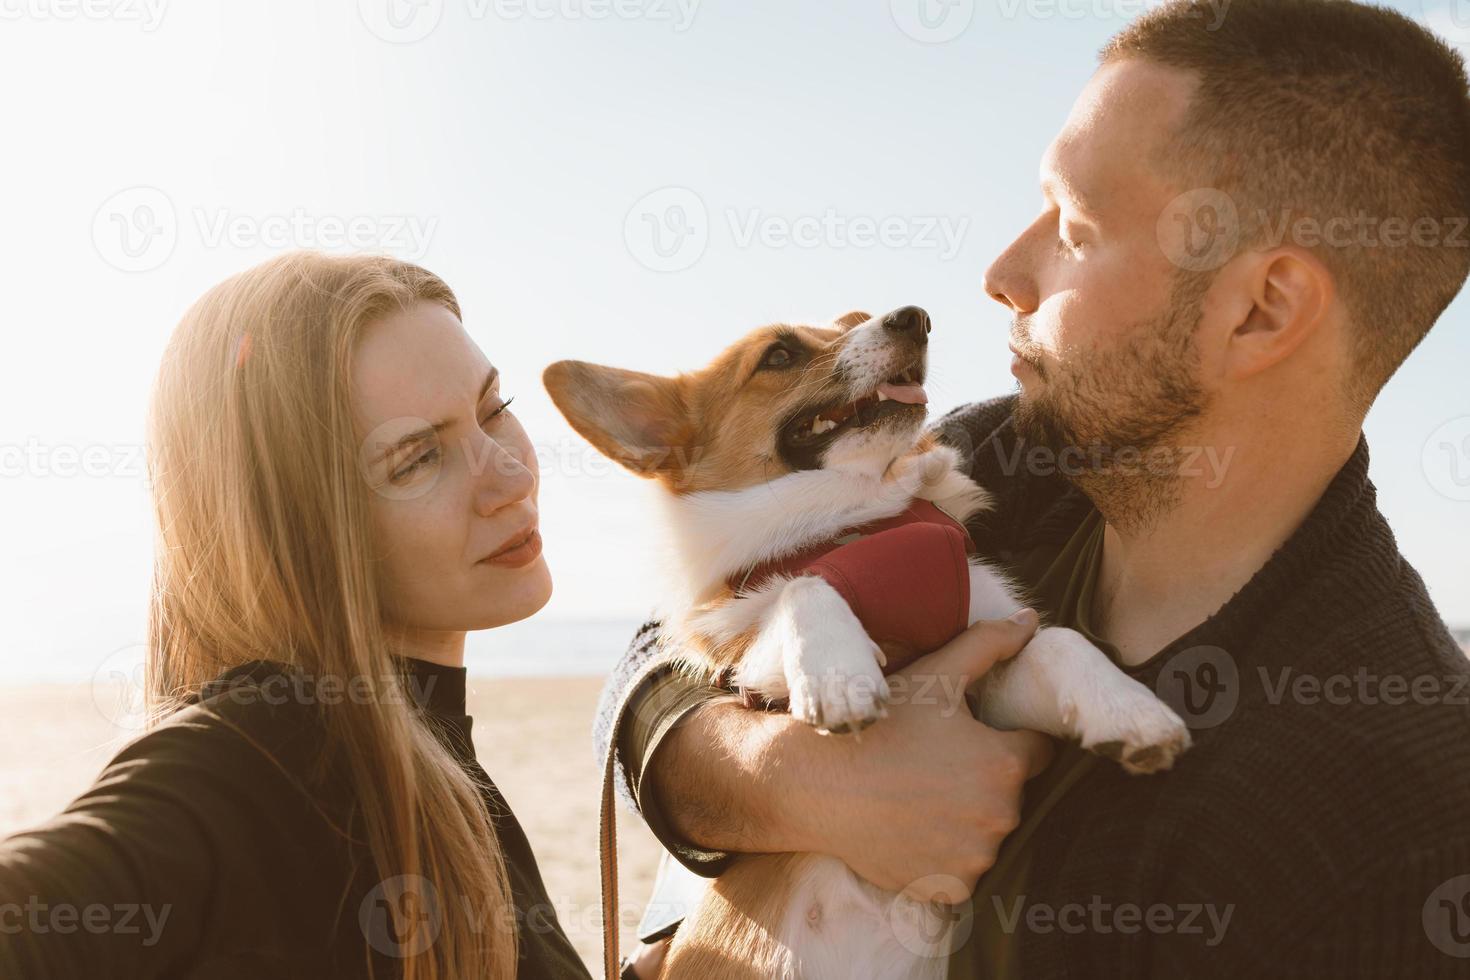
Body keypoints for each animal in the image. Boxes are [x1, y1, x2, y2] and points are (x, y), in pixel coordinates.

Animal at [546, 308, 1187, 980]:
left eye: (850, 322)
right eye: (778, 356)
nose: (914, 316)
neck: (855, 523)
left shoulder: (986, 669)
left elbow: (1058, 643)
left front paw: (1128, 709)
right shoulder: (749, 665)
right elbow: (805, 586)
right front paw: (839, 675)